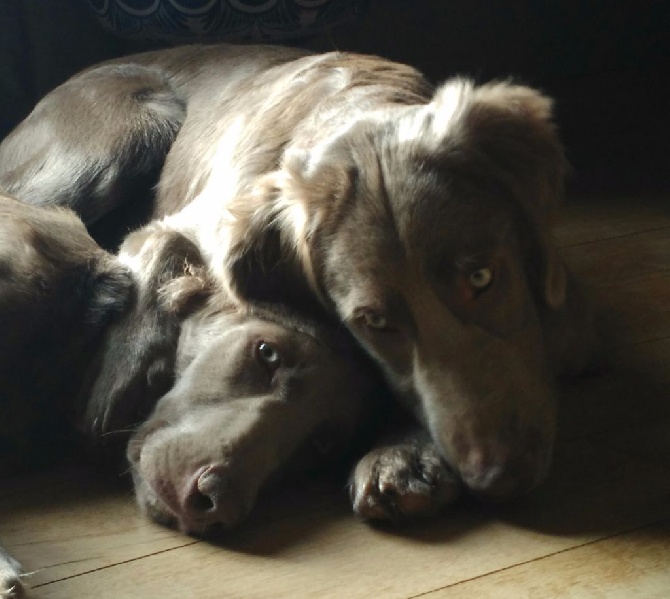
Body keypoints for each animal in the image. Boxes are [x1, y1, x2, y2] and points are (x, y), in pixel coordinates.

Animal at [0, 44, 600, 524]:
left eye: (481, 276)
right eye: (373, 322)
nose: (504, 477)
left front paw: (404, 454)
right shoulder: (175, 230)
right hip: (126, 136)